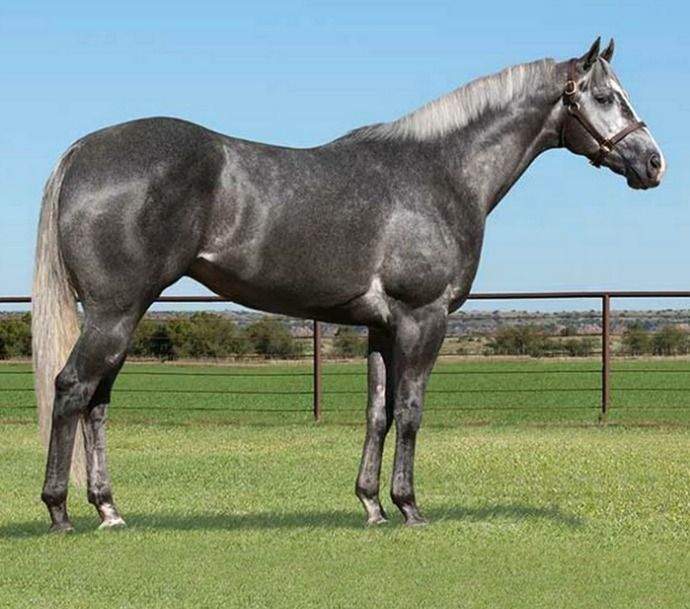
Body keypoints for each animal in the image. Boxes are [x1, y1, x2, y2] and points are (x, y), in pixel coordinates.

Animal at [32, 38, 665, 532]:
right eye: (605, 97)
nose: (653, 163)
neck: (440, 174)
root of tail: (83, 151)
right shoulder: (422, 317)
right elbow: (410, 410)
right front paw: (409, 508)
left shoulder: (381, 327)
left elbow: (377, 412)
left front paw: (372, 506)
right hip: (116, 313)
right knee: (72, 388)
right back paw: (60, 511)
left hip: (123, 314)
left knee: (96, 403)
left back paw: (109, 510)